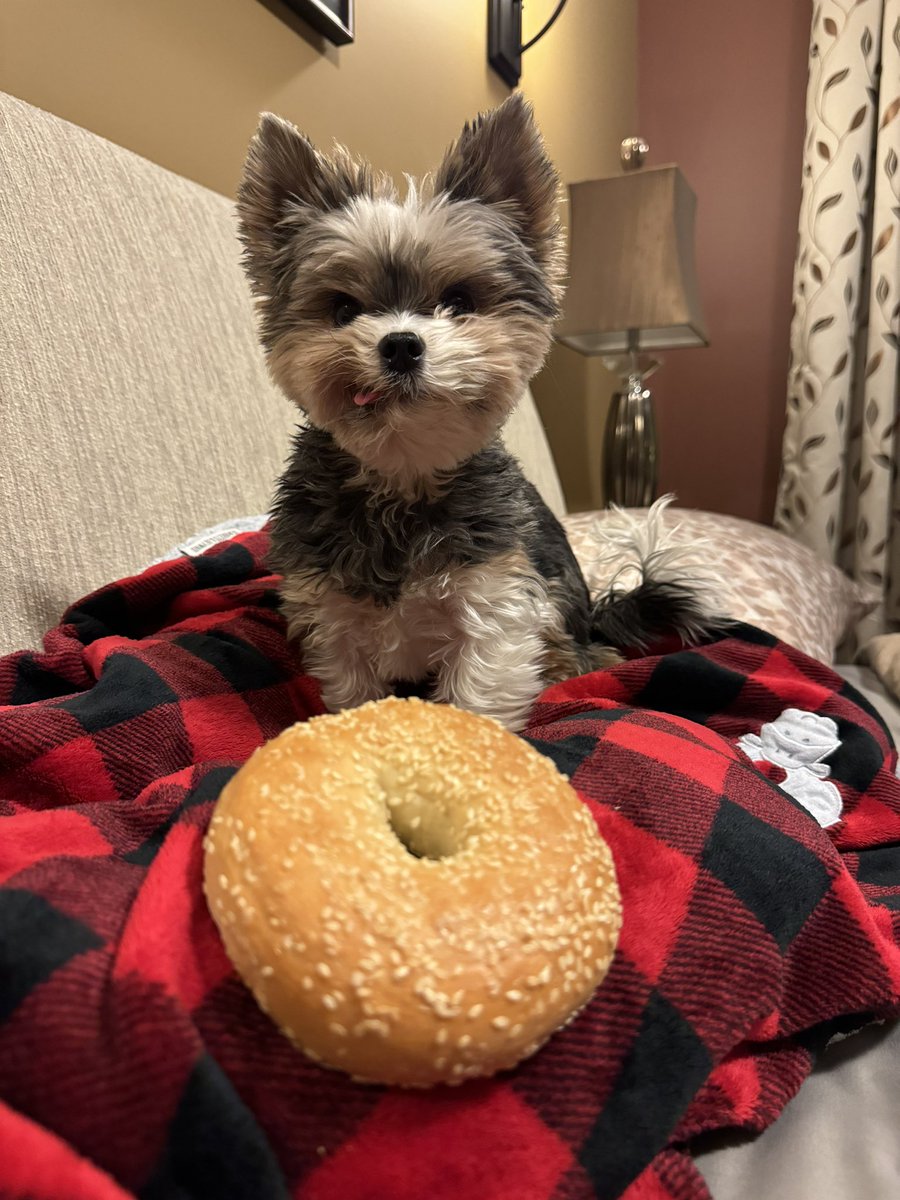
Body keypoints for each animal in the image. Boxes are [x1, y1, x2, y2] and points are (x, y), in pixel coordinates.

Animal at [240, 93, 720, 724]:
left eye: (459, 300)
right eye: (343, 309)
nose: (400, 345)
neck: (403, 472)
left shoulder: (496, 600)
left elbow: (481, 693)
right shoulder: (333, 619)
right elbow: (354, 690)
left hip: (558, 602)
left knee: (578, 648)